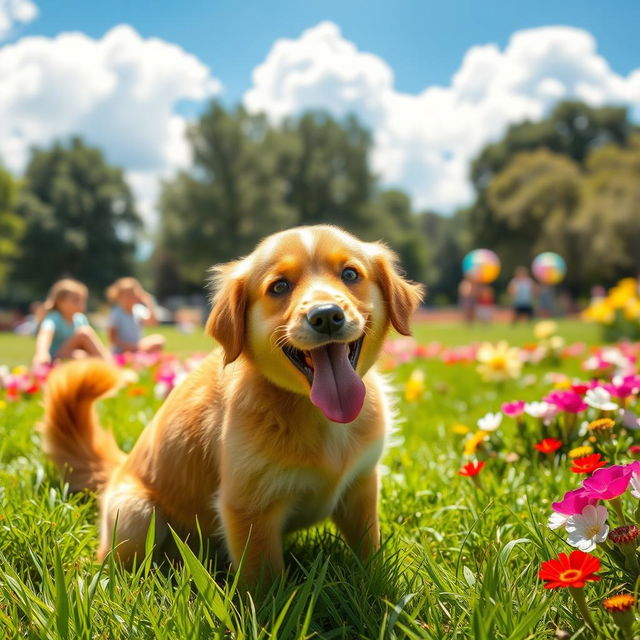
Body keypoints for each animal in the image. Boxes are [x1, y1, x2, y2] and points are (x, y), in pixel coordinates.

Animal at [40, 228, 422, 584]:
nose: (326, 315)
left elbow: (369, 549)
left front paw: (375, 585)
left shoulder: (362, 486)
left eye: (350, 274)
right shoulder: (247, 508)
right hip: (136, 514)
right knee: (112, 564)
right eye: (279, 287)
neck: (314, 412)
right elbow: (264, 582)